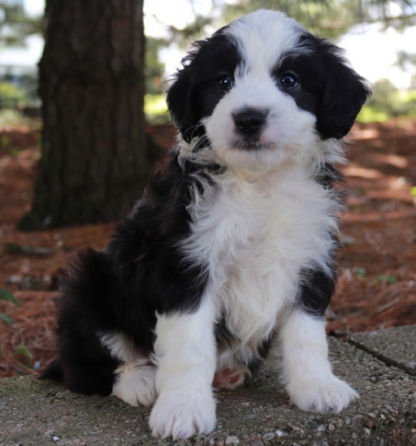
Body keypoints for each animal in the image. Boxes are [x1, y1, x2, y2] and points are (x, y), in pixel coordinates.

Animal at [44, 8, 372, 440]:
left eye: (289, 80)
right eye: (223, 81)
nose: (249, 118)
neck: (259, 183)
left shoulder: (311, 257)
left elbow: (308, 334)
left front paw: (316, 386)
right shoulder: (184, 266)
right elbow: (189, 347)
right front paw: (182, 410)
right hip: (90, 283)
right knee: (89, 367)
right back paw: (141, 382)